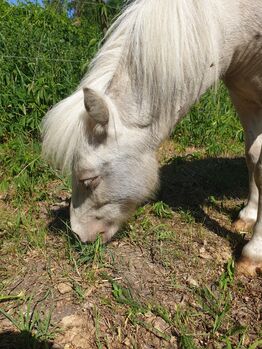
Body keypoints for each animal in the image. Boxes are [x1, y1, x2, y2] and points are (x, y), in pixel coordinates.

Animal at [42, 0, 262, 276]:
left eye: (88, 179)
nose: (79, 235)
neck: (239, 20)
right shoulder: (245, 98)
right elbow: (252, 156)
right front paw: (248, 215)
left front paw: (253, 252)